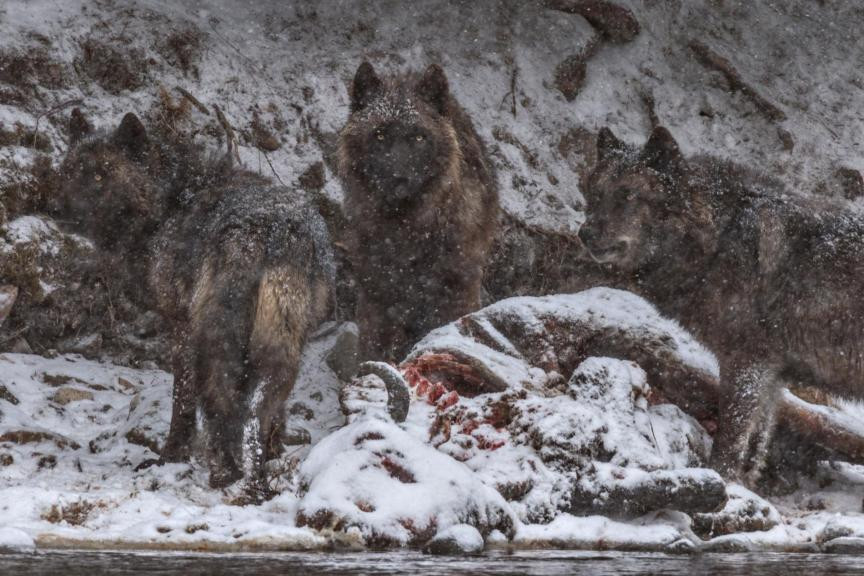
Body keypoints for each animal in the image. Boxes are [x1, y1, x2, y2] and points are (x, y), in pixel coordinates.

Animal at [56, 113, 334, 500]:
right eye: (69, 171)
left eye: (100, 176)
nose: (55, 211)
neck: (169, 201)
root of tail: (269, 232)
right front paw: (277, 450)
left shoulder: (181, 326)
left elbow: (182, 400)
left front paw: (170, 456)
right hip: (282, 344)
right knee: (258, 408)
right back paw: (256, 473)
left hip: (214, 341)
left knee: (220, 401)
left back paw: (225, 472)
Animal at [338, 62, 500, 360]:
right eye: (379, 134)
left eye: (418, 136)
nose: (397, 180)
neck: (405, 228)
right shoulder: (377, 295)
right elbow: (373, 348)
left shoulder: (454, 288)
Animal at [576, 126, 864, 486]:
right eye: (595, 193)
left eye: (628, 195)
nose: (584, 234)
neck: (718, 237)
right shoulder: (772, 374)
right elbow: (756, 445)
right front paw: (745, 486)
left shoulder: (746, 362)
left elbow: (731, 438)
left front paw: (720, 480)